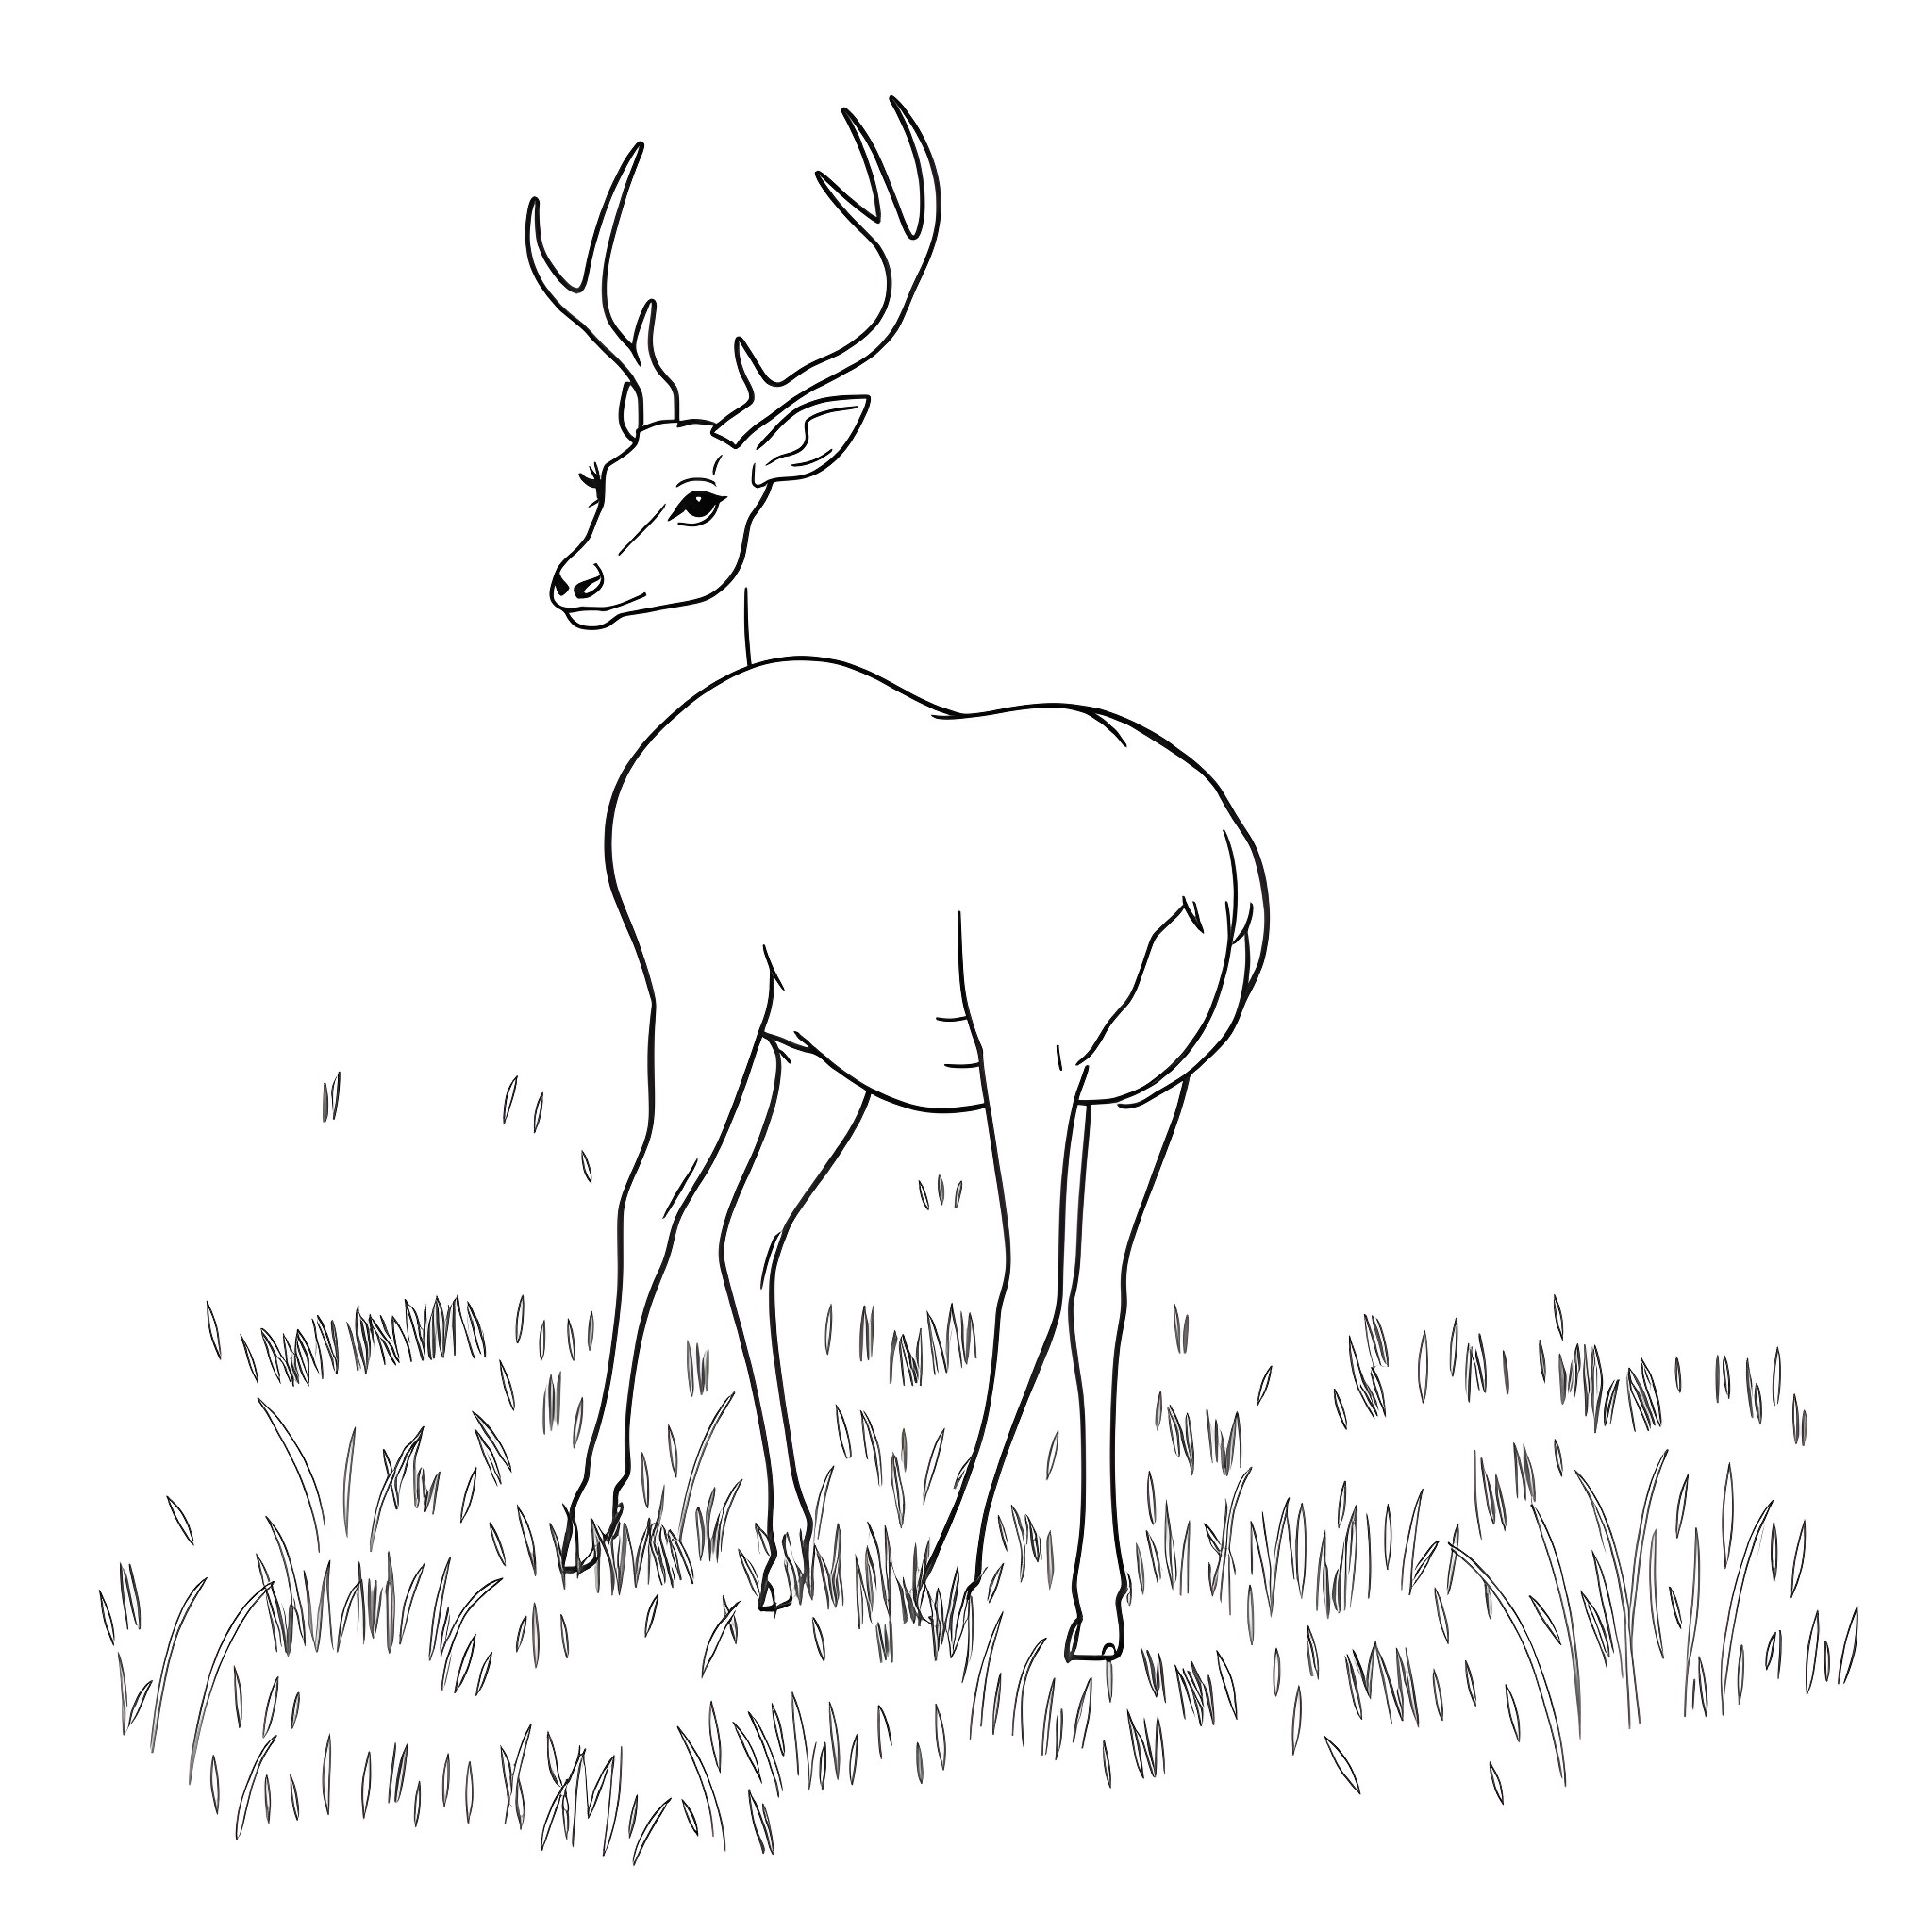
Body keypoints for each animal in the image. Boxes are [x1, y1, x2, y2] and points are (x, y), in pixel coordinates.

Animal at [526, 100, 1267, 1662]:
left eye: (702, 496)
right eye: (600, 477)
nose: (572, 582)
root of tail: (1211, 874)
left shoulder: (700, 990)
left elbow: (651, 1205)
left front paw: (590, 1519)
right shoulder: (828, 1055)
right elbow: (753, 1241)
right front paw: (782, 1551)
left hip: (1029, 1055)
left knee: (1029, 1276)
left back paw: (945, 1566)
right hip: (1152, 1081)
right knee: (1100, 1291)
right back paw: (1093, 1609)